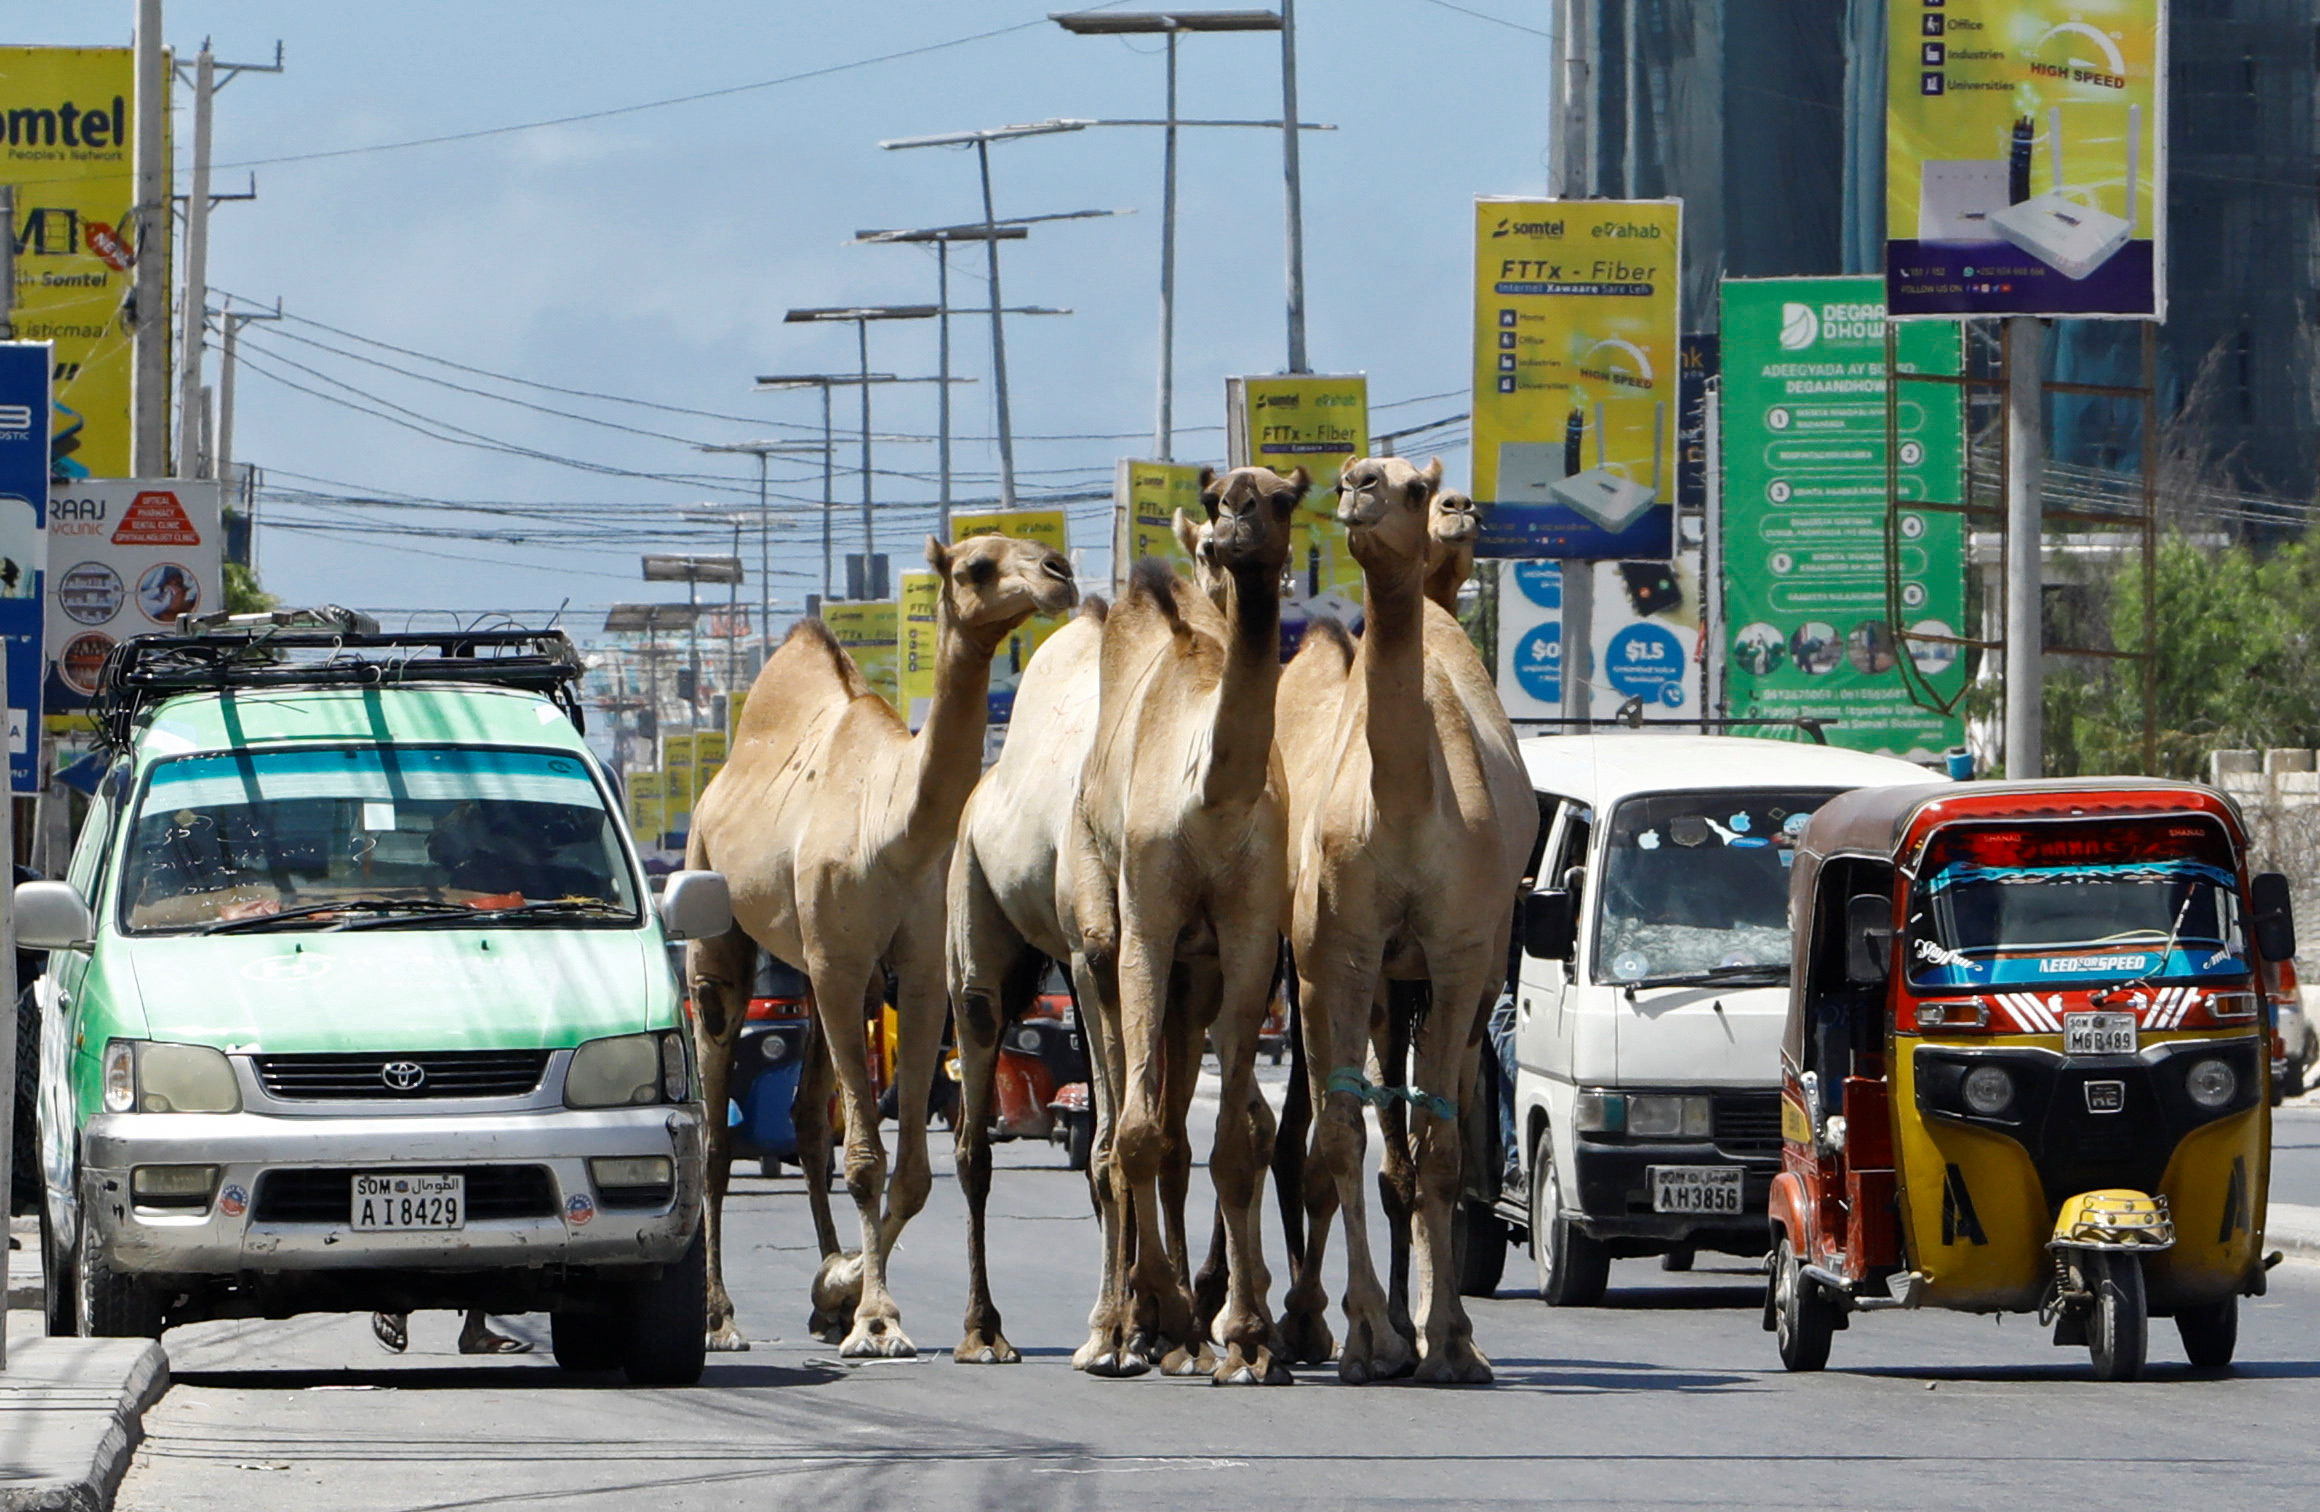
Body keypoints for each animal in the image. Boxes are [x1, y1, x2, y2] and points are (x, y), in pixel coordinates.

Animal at [686, 533, 1076, 1354]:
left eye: (1032, 550)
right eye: (976, 567)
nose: (1059, 573)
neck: (892, 827)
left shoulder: (919, 970)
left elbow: (911, 1173)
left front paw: (840, 1287)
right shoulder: (841, 961)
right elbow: (865, 1158)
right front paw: (874, 1320)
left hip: (814, 971)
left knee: (805, 1119)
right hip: (720, 929)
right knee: (713, 1130)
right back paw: (720, 1317)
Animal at [1071, 466, 1308, 1391]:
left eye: (1284, 498)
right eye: (1214, 504)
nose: (1235, 520)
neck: (1209, 796)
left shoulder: (1243, 940)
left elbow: (1233, 1139)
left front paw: (1241, 1339)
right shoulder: (1146, 926)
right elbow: (1136, 1136)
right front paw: (1160, 1317)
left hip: (1193, 981)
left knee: (1176, 1132)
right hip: (1096, 952)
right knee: (1114, 1134)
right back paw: (1114, 1326)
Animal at [1280, 452, 1531, 1382]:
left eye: (1416, 488)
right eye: (1352, 477)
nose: (1357, 486)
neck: (1409, 804)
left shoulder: (1458, 957)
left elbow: (1445, 1149)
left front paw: (1450, 1341)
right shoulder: (1340, 958)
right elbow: (1343, 1139)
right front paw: (1365, 1336)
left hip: (1466, 977)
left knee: (1432, 1132)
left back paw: (1434, 1324)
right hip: (1383, 984)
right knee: (1375, 1141)